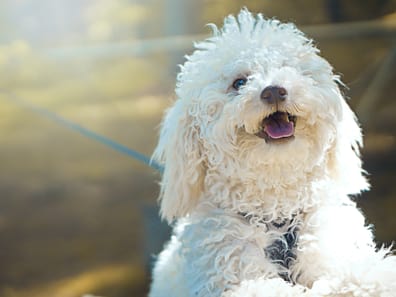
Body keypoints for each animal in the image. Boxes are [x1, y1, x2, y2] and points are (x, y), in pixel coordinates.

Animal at [149, 9, 396, 296]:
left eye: (288, 68)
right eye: (239, 82)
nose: (274, 90)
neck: (277, 213)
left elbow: (354, 271)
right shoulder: (233, 271)